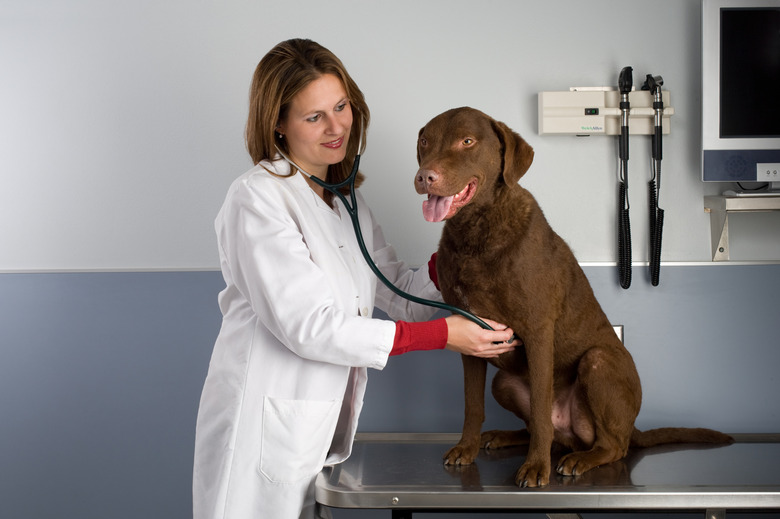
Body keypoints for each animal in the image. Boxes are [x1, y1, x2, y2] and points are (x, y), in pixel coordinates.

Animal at [414, 107, 732, 490]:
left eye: (467, 141)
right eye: (425, 141)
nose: (424, 176)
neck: (476, 234)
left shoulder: (537, 331)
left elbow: (539, 410)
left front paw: (536, 467)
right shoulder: (473, 339)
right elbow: (472, 405)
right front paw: (466, 448)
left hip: (598, 363)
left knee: (611, 445)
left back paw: (581, 458)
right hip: (503, 383)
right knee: (548, 431)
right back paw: (505, 436)